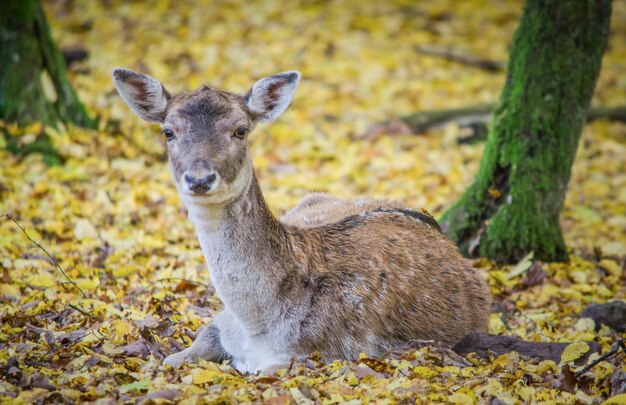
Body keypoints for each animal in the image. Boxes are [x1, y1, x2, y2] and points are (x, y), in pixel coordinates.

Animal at [114, 67, 490, 372]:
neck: (255, 327)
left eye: (240, 130)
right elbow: (177, 354)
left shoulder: (318, 353)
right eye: (168, 131)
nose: (200, 178)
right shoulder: (220, 322)